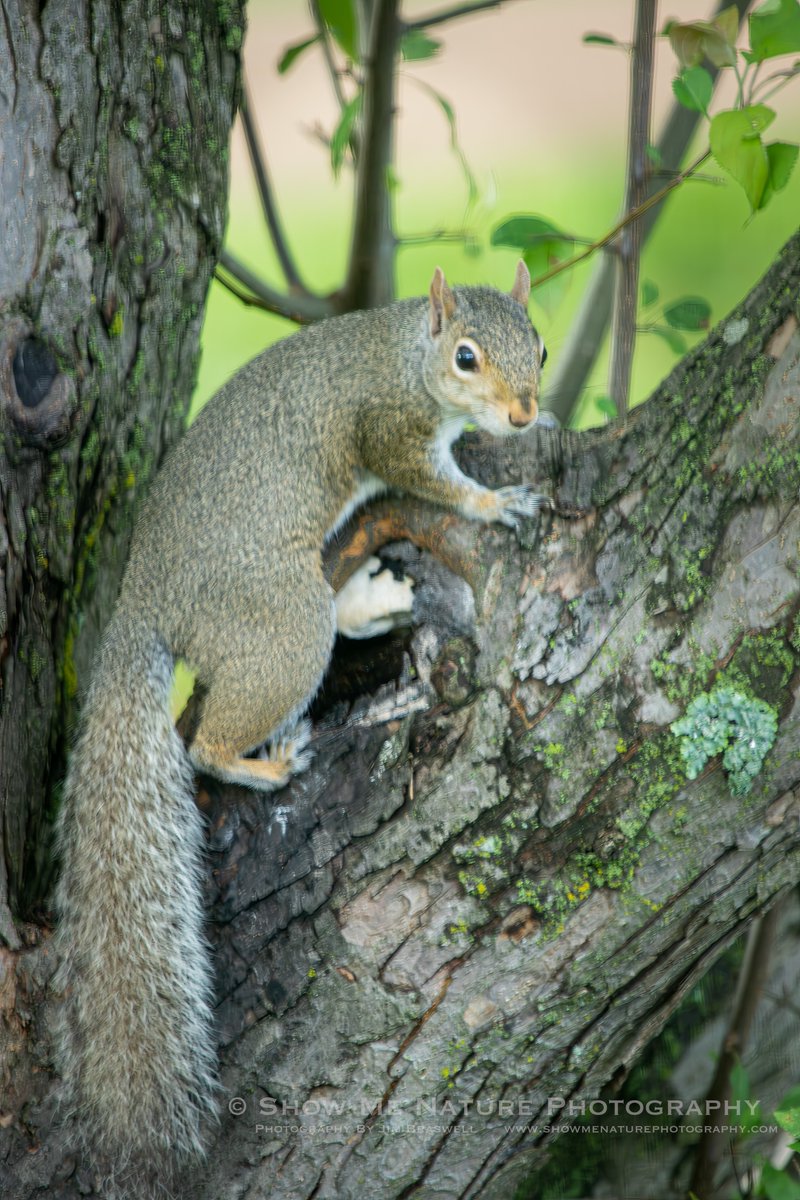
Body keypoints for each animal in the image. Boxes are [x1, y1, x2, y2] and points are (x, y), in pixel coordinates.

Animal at [54, 262, 548, 1183]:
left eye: (536, 344)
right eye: (466, 357)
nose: (528, 415)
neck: (405, 353)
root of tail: (145, 607)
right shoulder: (391, 433)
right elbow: (434, 482)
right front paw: (494, 500)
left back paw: (370, 601)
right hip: (280, 624)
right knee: (203, 745)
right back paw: (267, 763)